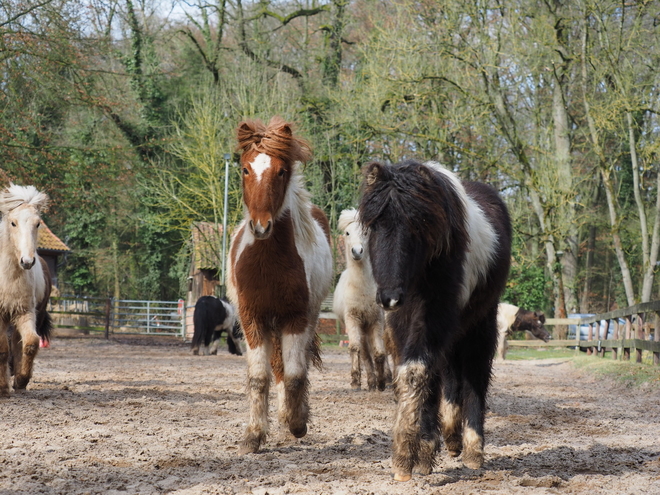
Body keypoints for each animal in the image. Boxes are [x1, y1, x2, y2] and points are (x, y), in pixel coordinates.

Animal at [227, 118, 332, 456]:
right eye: (245, 169)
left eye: (282, 171)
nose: (261, 226)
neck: (268, 262)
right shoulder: (252, 318)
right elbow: (259, 377)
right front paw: (253, 436)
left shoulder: (296, 318)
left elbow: (296, 374)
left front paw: (297, 424)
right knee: (276, 368)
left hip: (305, 320)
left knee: (294, 368)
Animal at [332, 208, 390, 392]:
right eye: (347, 233)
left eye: (366, 232)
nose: (357, 251)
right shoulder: (353, 319)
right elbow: (356, 349)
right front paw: (356, 382)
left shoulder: (376, 320)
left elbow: (379, 352)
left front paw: (381, 383)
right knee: (364, 352)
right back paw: (370, 381)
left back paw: (386, 378)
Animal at [358, 161, 512, 482]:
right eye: (375, 224)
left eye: (417, 226)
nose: (389, 297)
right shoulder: (401, 324)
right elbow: (414, 376)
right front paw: (420, 453)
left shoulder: (434, 318)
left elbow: (416, 371)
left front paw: (408, 457)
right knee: (449, 374)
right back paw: (451, 438)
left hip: (480, 322)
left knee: (475, 374)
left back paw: (473, 451)